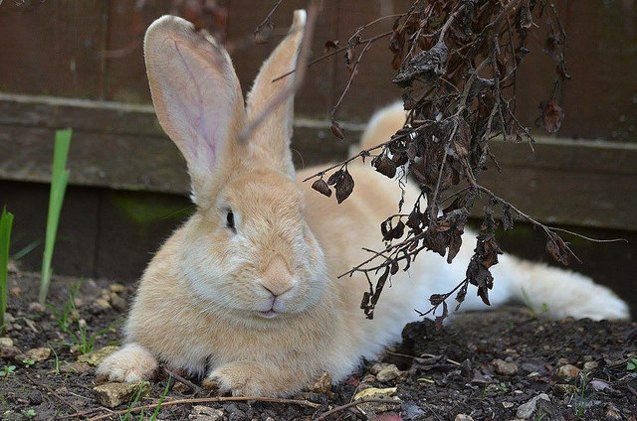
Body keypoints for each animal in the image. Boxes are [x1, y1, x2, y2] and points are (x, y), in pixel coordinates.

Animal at [97, 10, 628, 398]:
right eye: (230, 219)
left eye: (301, 220)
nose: (277, 283)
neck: (237, 314)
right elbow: (143, 351)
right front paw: (116, 369)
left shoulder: (316, 363)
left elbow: (279, 374)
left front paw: (232, 378)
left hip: (451, 270)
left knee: (516, 271)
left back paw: (600, 305)